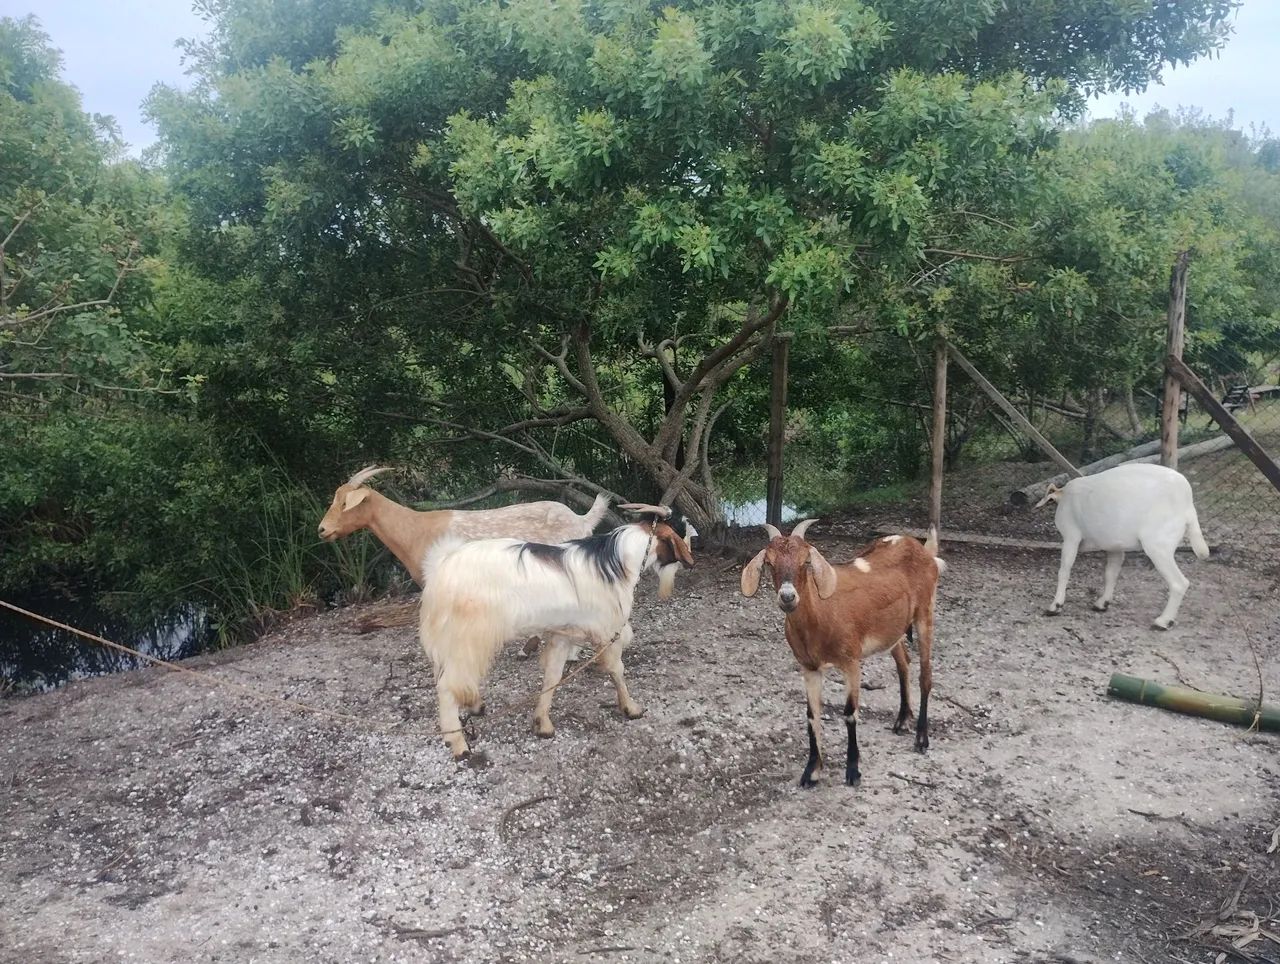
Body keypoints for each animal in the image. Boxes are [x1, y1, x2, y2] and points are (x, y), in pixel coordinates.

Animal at [418, 506, 695, 759]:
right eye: (681, 531)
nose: (690, 561)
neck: (616, 565)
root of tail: (442, 566)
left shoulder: (564, 634)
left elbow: (553, 676)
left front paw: (543, 724)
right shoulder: (607, 631)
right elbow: (617, 670)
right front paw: (631, 708)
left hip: (452, 640)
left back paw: (474, 707)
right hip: (468, 636)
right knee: (448, 686)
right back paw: (459, 744)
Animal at [741, 521, 944, 787]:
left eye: (805, 561)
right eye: (769, 563)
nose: (787, 597)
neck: (821, 615)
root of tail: (922, 550)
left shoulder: (851, 662)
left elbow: (849, 713)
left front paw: (853, 771)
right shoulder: (809, 668)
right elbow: (812, 714)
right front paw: (811, 771)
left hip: (925, 613)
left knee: (925, 675)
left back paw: (921, 738)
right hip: (894, 629)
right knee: (903, 663)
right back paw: (902, 719)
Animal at [1036, 462, 1209, 629]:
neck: (1064, 496)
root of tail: (1188, 506)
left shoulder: (1071, 537)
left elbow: (1064, 571)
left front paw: (1055, 606)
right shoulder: (1115, 546)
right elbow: (1110, 573)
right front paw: (1102, 603)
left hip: (1158, 546)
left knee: (1179, 583)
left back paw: (1163, 622)